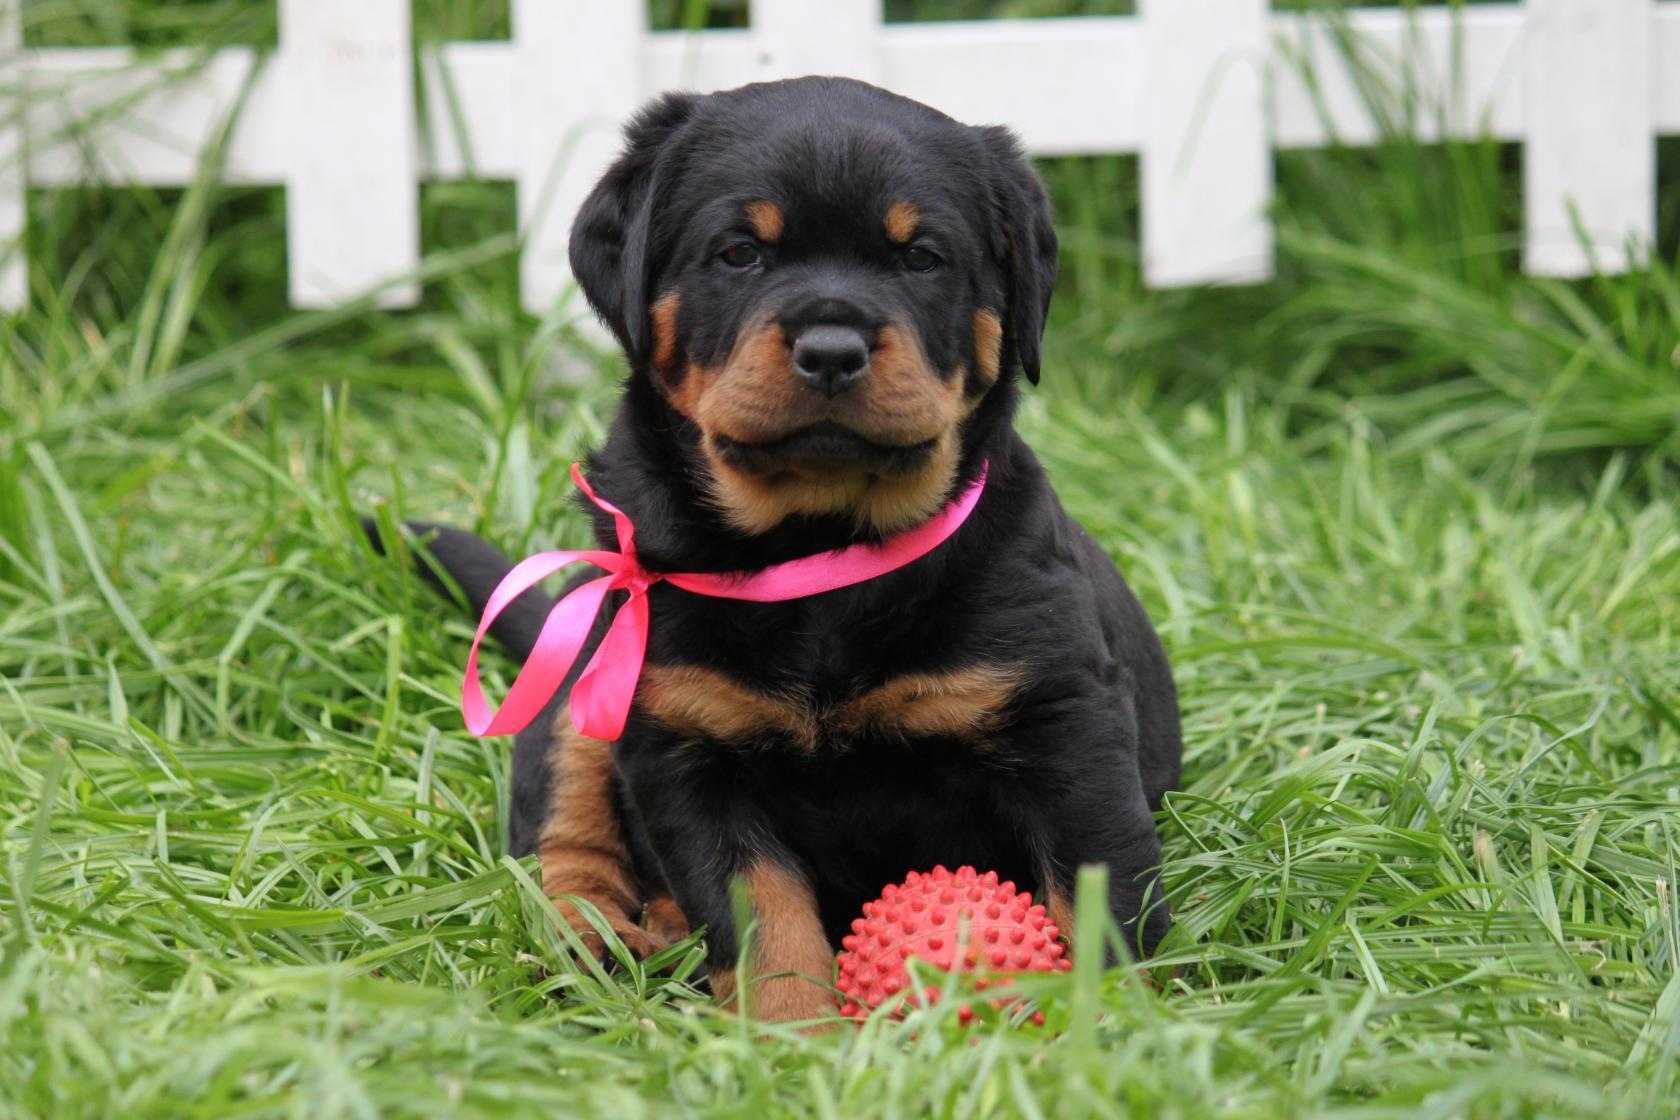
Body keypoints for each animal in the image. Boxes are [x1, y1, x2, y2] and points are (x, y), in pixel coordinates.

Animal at [396, 76, 1182, 1027]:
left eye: (922, 259)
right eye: (740, 253)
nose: (832, 347)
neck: (821, 546)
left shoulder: (1064, 719)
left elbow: (1102, 895)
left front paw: (1113, 1028)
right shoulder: (684, 742)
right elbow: (762, 915)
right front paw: (793, 1034)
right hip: (588, 682)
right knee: (567, 838)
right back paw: (601, 939)